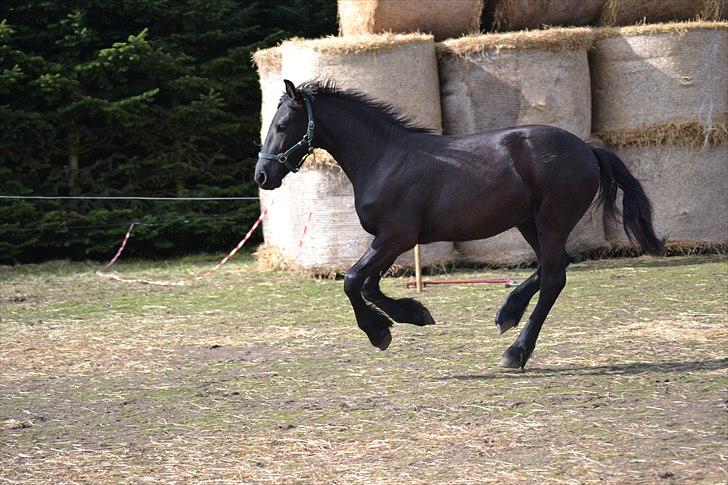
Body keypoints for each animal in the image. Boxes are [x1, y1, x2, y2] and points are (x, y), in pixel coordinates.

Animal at [256, 79, 664, 368]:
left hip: (551, 220)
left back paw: (516, 352)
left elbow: (354, 281)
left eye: (284, 124)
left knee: (553, 278)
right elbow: (369, 285)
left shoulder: (395, 237)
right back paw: (507, 313)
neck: (383, 158)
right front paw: (412, 315)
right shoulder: (391, 242)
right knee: (555, 267)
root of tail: (588, 149)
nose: (262, 175)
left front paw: (380, 332)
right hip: (529, 222)